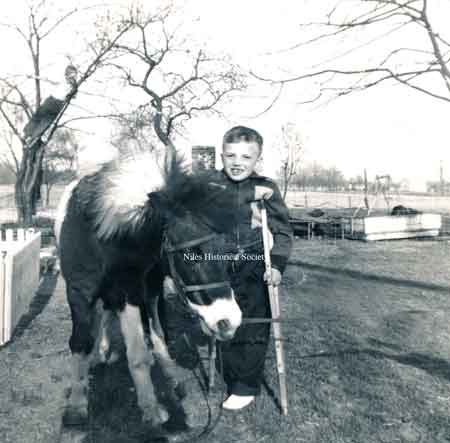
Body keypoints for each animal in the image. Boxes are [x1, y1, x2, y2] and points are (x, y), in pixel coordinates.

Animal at [57, 151, 243, 428]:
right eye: (190, 254)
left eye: (226, 250)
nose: (229, 321)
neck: (99, 234)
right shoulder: (79, 292)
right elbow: (80, 342)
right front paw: (76, 404)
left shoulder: (131, 290)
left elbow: (140, 352)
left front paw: (151, 407)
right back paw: (101, 352)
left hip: (150, 289)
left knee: (154, 329)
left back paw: (169, 372)